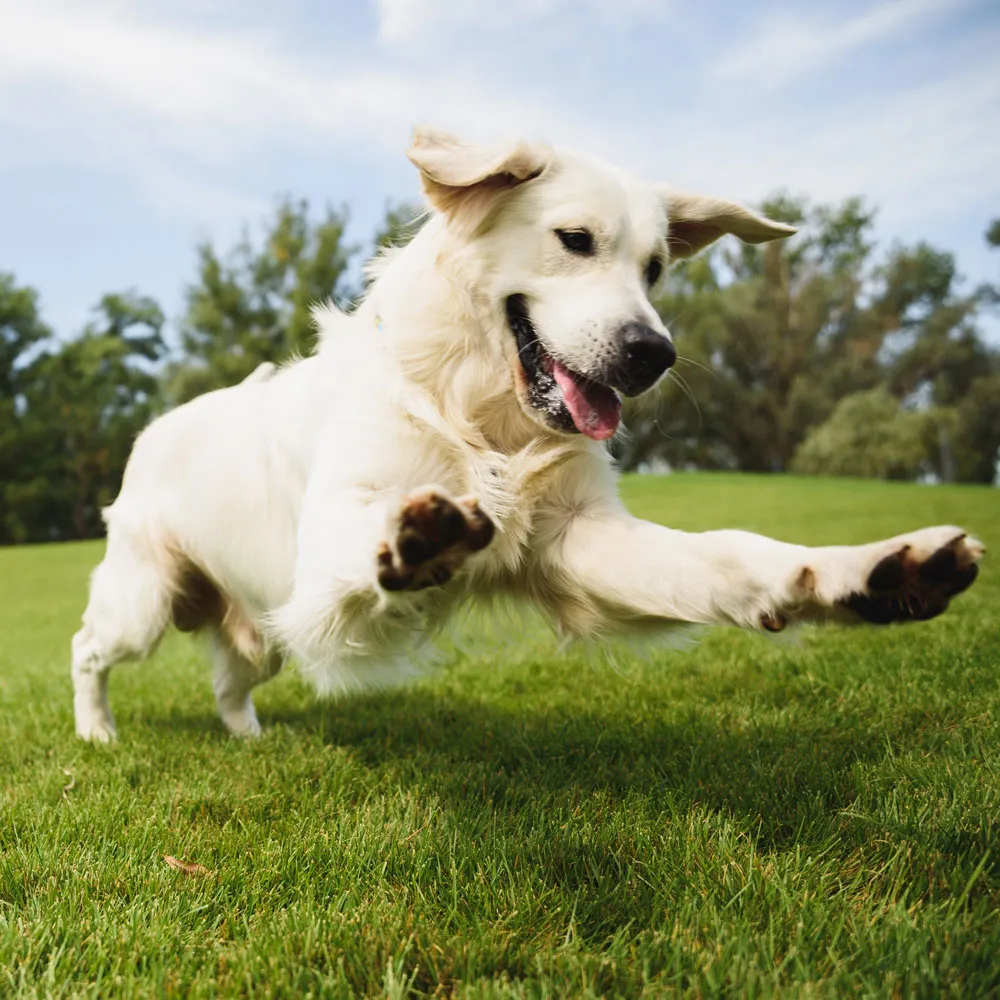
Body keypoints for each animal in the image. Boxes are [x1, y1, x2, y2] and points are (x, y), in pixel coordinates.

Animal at [72, 125, 984, 740]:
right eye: (574, 240)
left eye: (656, 269)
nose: (653, 354)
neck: (482, 415)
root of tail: (152, 429)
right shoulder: (328, 552)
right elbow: (372, 533)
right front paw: (416, 537)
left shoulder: (580, 538)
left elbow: (735, 555)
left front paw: (871, 573)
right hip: (144, 602)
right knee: (88, 647)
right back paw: (97, 732)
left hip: (257, 624)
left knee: (232, 681)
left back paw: (250, 737)